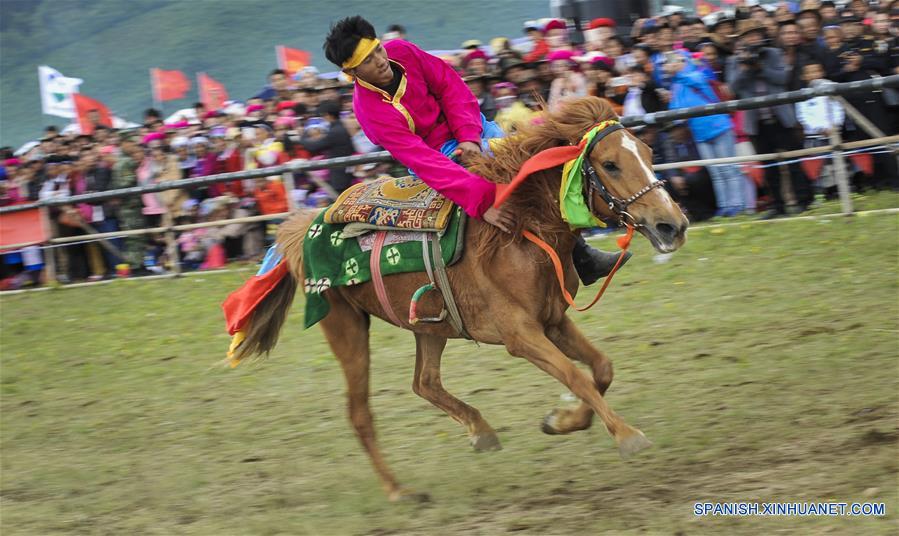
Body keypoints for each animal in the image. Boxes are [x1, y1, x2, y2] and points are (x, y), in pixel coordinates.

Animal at [232, 97, 688, 502]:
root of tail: (302, 228)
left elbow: (601, 370)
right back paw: (399, 491)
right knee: (361, 412)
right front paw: (626, 435)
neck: (517, 231)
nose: (673, 225)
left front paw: (560, 421)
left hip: (428, 324)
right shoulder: (521, 336)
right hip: (345, 326)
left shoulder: (554, 320)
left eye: (648, 153)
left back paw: (480, 432)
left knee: (425, 382)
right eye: (610, 164)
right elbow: (576, 376)